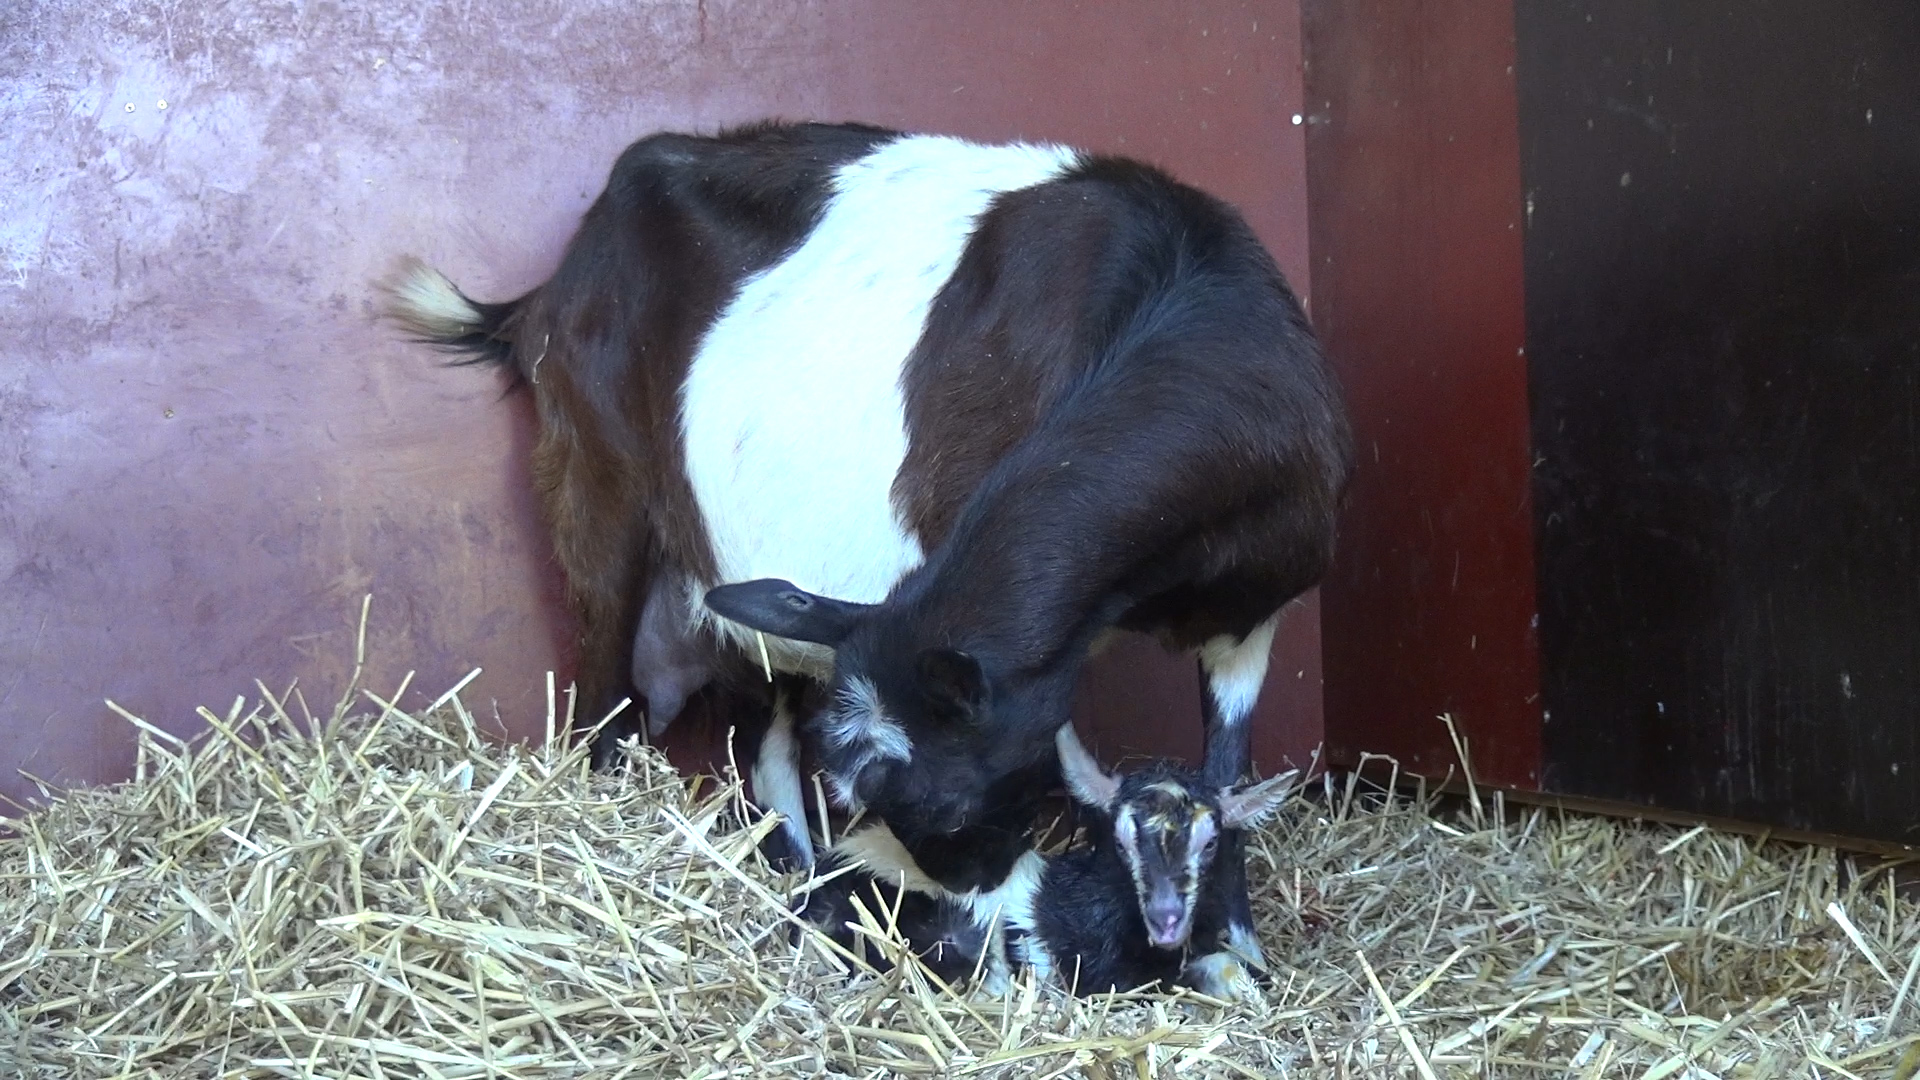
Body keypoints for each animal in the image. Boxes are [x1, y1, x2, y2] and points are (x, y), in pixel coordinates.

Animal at [385, 119, 1351, 968]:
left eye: (951, 804)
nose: (970, 886)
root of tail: (547, 289)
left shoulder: (1251, 615)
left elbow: (1227, 779)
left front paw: (1235, 946)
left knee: (762, 724)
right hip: (594, 478)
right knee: (601, 687)